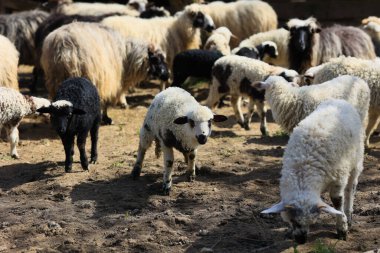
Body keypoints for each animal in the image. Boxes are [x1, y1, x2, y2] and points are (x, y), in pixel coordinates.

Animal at [40, 21, 168, 124]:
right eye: (157, 59)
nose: (166, 76)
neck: (126, 56)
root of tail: (63, 47)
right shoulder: (109, 80)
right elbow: (105, 102)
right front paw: (106, 119)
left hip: (55, 79)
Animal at [262, 98, 366, 243]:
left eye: (311, 222)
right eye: (293, 221)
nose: (301, 240)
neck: (304, 169)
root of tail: (339, 100)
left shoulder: (338, 179)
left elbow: (337, 202)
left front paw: (342, 228)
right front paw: (289, 231)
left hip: (356, 160)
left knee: (351, 188)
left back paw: (349, 214)